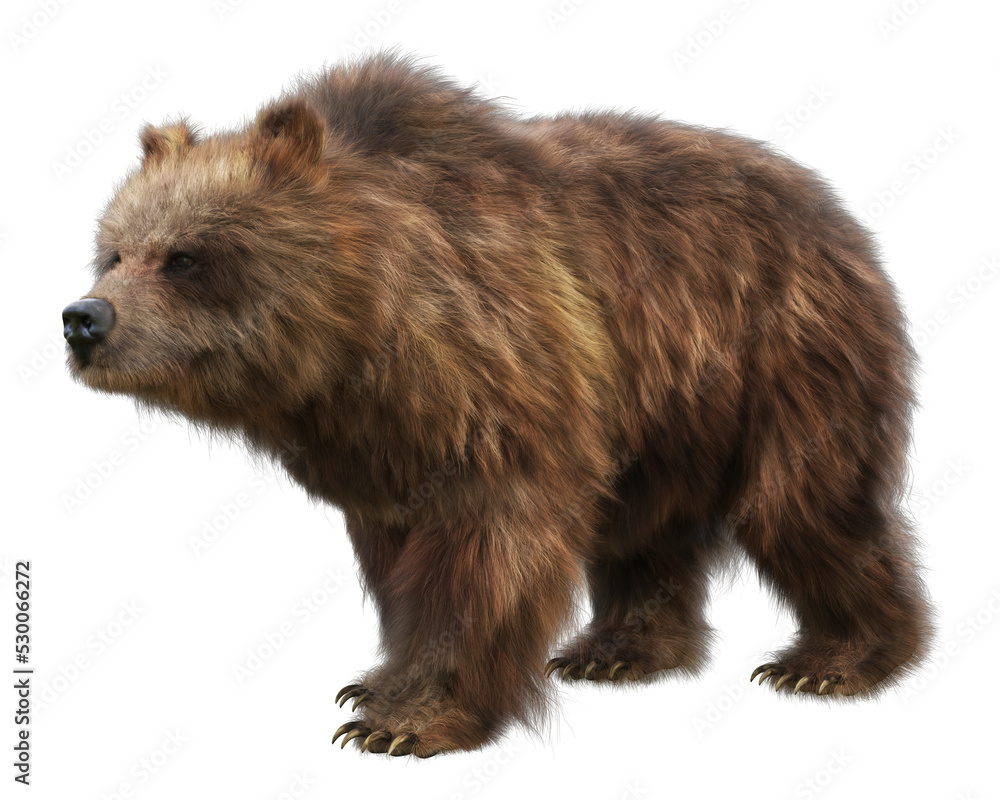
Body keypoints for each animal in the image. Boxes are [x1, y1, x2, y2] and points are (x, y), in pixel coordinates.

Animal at [63, 53, 933, 758]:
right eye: (112, 251)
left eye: (184, 256)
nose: (84, 319)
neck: (356, 347)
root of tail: (835, 209)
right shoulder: (382, 449)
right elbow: (397, 564)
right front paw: (375, 684)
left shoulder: (501, 374)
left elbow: (487, 550)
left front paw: (403, 722)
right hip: (660, 415)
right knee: (643, 528)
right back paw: (618, 649)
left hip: (781, 352)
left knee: (802, 505)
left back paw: (835, 662)